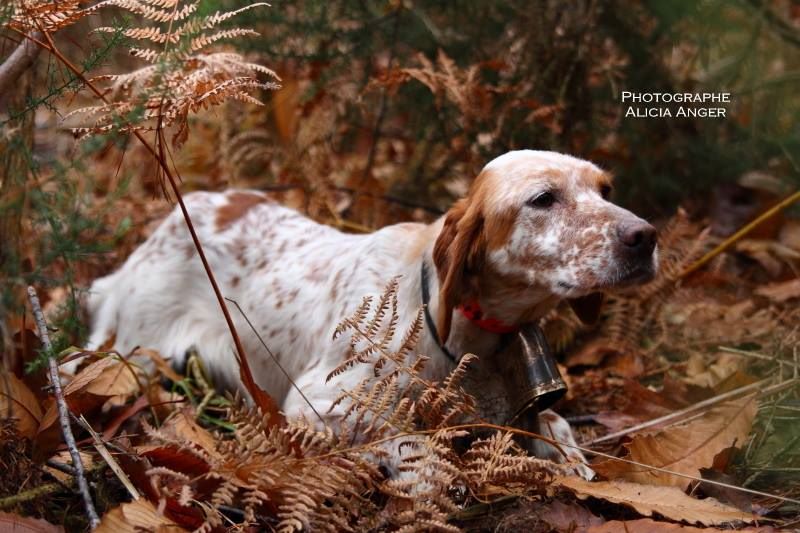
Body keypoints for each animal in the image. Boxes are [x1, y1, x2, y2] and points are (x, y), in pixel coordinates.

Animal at [83, 150, 656, 474]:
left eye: (605, 190)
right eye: (543, 199)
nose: (646, 237)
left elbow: (555, 427)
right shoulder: (314, 406)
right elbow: (409, 442)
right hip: (132, 355)